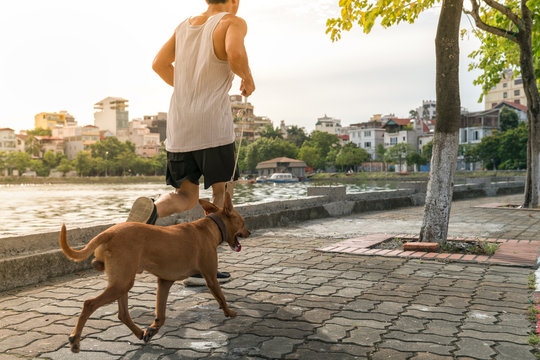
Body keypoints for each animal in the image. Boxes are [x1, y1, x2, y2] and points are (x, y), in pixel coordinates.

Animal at [59, 193, 249, 352]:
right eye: (243, 221)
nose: (249, 232)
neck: (209, 227)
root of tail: (109, 232)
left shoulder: (164, 282)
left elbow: (161, 315)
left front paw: (152, 330)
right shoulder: (210, 277)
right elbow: (221, 297)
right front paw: (229, 312)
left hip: (122, 282)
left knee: (123, 314)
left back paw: (139, 333)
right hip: (121, 284)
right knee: (89, 304)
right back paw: (75, 340)